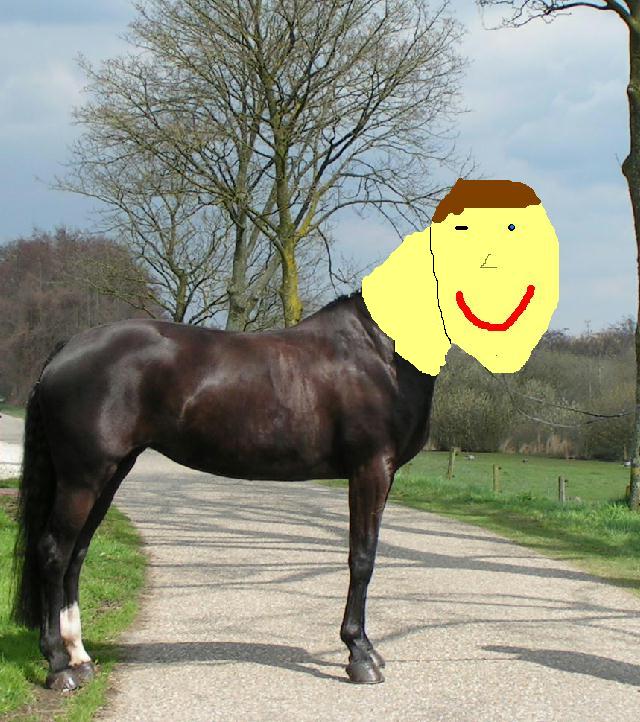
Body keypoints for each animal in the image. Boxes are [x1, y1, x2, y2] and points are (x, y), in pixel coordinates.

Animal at [11, 290, 437, 691]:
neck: (378, 352)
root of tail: (66, 349)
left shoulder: (381, 474)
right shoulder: (370, 469)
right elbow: (362, 559)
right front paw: (360, 655)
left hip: (109, 473)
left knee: (77, 553)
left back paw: (79, 658)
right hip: (82, 477)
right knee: (54, 551)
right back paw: (58, 666)